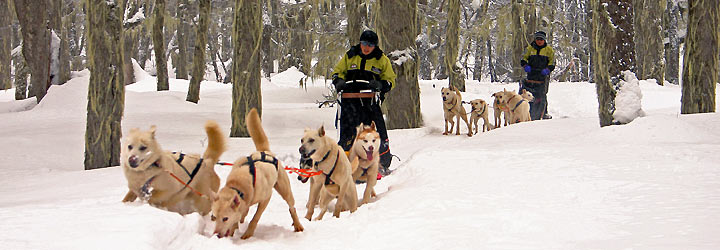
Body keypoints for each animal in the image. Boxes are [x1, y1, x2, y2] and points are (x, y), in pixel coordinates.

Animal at [211, 109, 306, 238]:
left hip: (285, 191)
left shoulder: (266, 198)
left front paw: (247, 234)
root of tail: (263, 151)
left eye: (225, 218)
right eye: (214, 217)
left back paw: (297, 225)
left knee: (292, 208)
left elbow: (255, 217)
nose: (216, 235)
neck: (238, 185)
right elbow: (240, 216)